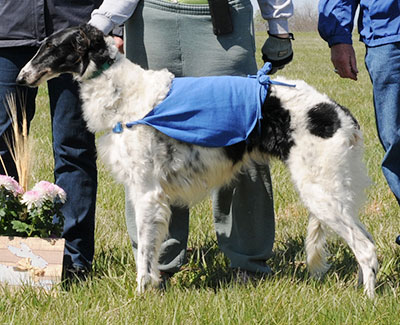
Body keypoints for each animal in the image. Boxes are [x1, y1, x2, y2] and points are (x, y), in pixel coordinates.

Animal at [15, 23, 378, 296]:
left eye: (50, 47)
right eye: (41, 45)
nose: (20, 78)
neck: (125, 93)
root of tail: (339, 113)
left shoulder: (147, 193)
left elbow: (144, 255)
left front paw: (141, 295)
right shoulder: (147, 193)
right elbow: (150, 252)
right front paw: (154, 287)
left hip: (320, 192)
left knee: (366, 249)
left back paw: (368, 300)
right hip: (333, 193)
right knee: (367, 243)